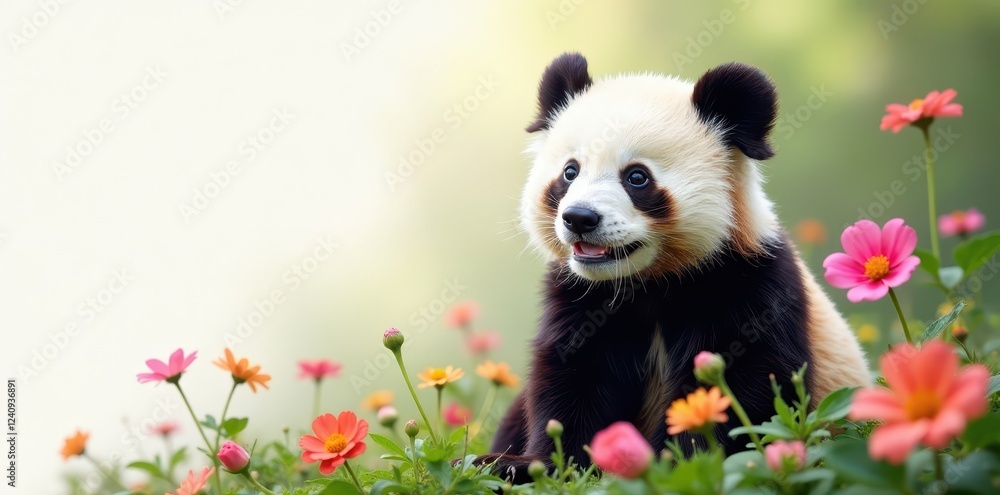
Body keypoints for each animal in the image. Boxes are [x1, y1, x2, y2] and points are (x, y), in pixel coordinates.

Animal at [475, 53, 870, 483]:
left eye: (637, 177)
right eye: (570, 171)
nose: (579, 218)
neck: (648, 282)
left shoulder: (751, 282)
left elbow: (740, 385)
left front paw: (678, 463)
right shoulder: (582, 296)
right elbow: (574, 379)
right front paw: (529, 466)